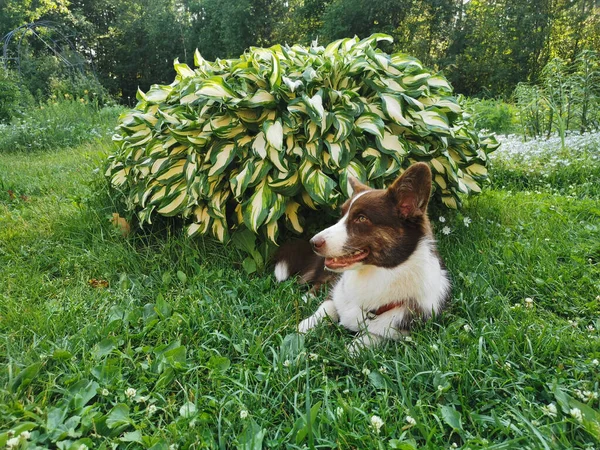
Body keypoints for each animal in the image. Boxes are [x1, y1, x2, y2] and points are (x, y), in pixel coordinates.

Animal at [274, 163, 450, 354]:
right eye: (342, 215)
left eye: (361, 218)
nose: (313, 243)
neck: (374, 274)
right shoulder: (336, 294)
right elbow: (324, 310)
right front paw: (302, 328)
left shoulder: (398, 330)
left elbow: (366, 340)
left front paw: (350, 350)